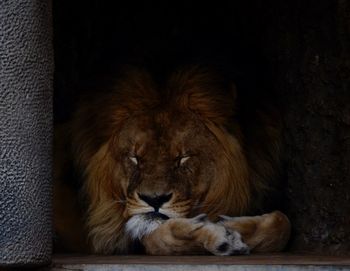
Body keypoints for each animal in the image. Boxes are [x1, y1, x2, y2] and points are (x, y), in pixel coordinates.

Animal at [54, 66, 290, 258]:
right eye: (134, 157)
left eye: (182, 158)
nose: (154, 199)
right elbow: (158, 240)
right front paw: (216, 235)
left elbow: (283, 223)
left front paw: (232, 225)